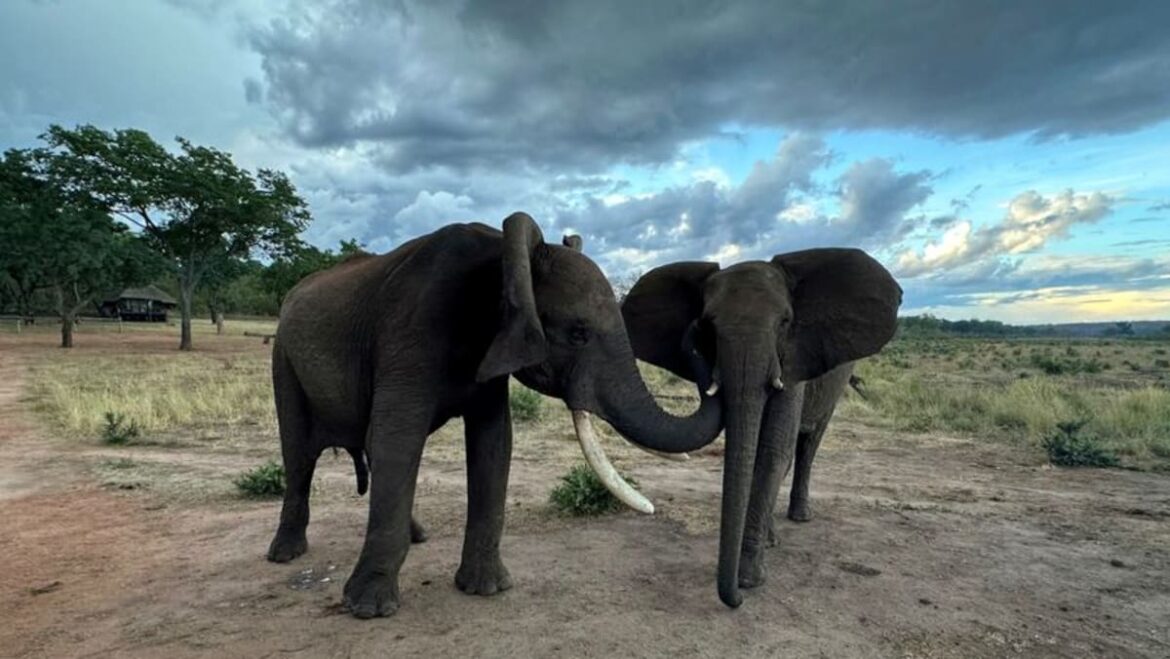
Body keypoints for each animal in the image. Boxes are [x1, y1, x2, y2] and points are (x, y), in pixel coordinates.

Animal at [266, 212, 722, 619]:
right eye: (578, 333)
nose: (700, 330)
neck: (501, 258)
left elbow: (494, 442)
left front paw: (486, 589)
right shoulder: (409, 335)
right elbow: (398, 439)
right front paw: (368, 610)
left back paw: (418, 536)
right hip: (283, 358)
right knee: (299, 454)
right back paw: (285, 554)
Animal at [621, 249, 901, 608]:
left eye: (784, 322)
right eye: (708, 325)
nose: (737, 599)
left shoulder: (794, 359)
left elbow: (771, 451)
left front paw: (748, 580)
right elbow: (749, 451)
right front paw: (754, 563)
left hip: (836, 383)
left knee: (808, 445)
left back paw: (800, 516)